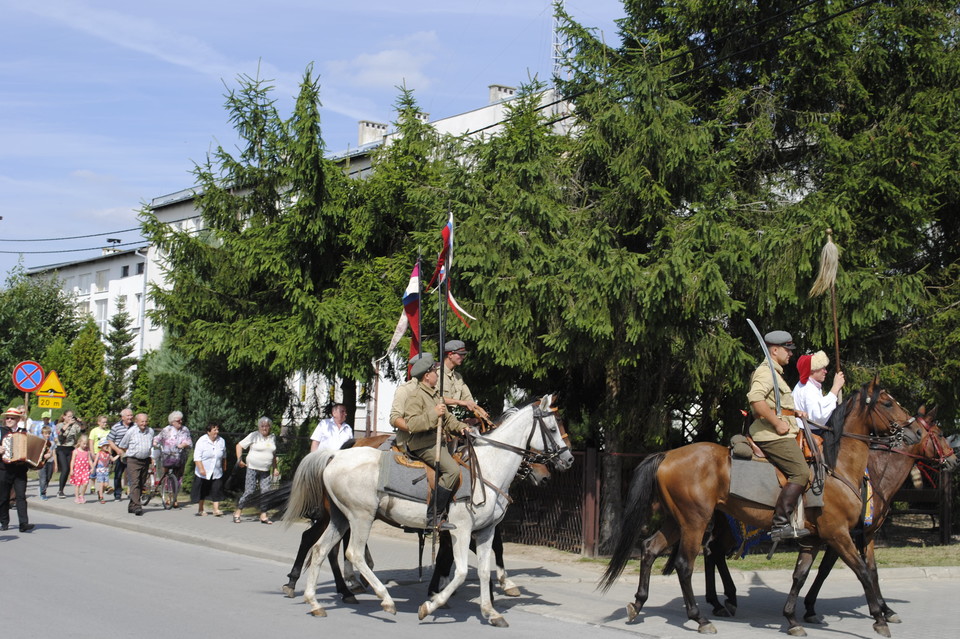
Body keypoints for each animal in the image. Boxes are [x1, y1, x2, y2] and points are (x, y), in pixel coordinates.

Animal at [284, 392, 568, 628]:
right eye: (553, 428)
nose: (567, 460)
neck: (486, 467)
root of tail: (335, 456)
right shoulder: (460, 530)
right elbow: (460, 571)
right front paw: (431, 604)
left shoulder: (485, 531)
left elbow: (483, 568)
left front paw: (491, 612)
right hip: (360, 517)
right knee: (351, 552)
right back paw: (381, 599)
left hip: (340, 518)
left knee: (320, 549)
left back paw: (316, 601)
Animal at [600, 382, 916, 636]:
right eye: (888, 402)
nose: (913, 430)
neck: (836, 468)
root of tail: (667, 454)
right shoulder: (838, 534)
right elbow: (863, 571)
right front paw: (879, 618)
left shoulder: (816, 539)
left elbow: (801, 576)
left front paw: (792, 619)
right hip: (694, 522)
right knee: (685, 564)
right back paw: (700, 618)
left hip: (675, 521)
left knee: (650, 549)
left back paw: (639, 603)